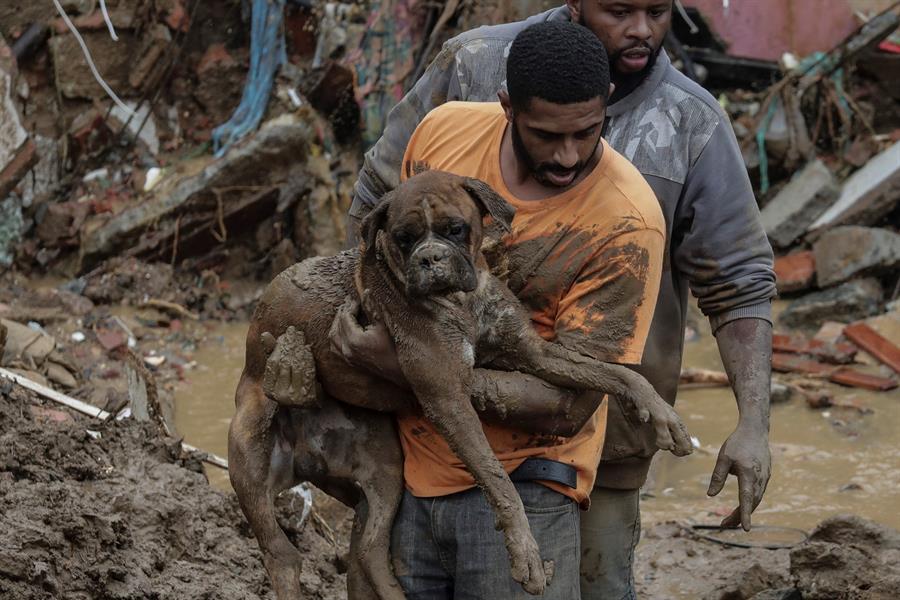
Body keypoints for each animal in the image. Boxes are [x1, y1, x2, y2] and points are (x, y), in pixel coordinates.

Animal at [229, 169, 692, 600]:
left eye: (455, 228)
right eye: (404, 238)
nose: (431, 259)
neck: (462, 301)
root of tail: (308, 454)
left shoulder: (536, 354)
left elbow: (615, 372)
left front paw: (662, 414)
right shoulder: (448, 397)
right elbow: (498, 478)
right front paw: (525, 554)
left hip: (385, 474)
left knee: (369, 553)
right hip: (248, 451)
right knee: (282, 555)